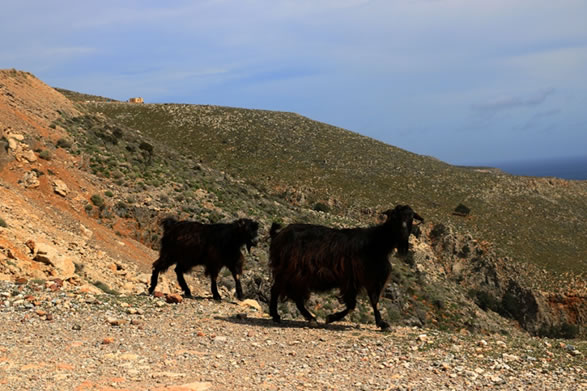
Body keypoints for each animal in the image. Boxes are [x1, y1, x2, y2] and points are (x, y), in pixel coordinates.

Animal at [268, 205, 424, 330]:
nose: (403, 235)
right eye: (394, 217)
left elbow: (367, 302)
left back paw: (311, 319)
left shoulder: (363, 279)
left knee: (296, 297)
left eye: (411, 217)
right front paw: (331, 318)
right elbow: (357, 304)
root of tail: (278, 234)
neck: (376, 243)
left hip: (299, 275)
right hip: (289, 271)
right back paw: (277, 316)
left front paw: (382, 324)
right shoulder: (358, 278)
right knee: (276, 289)